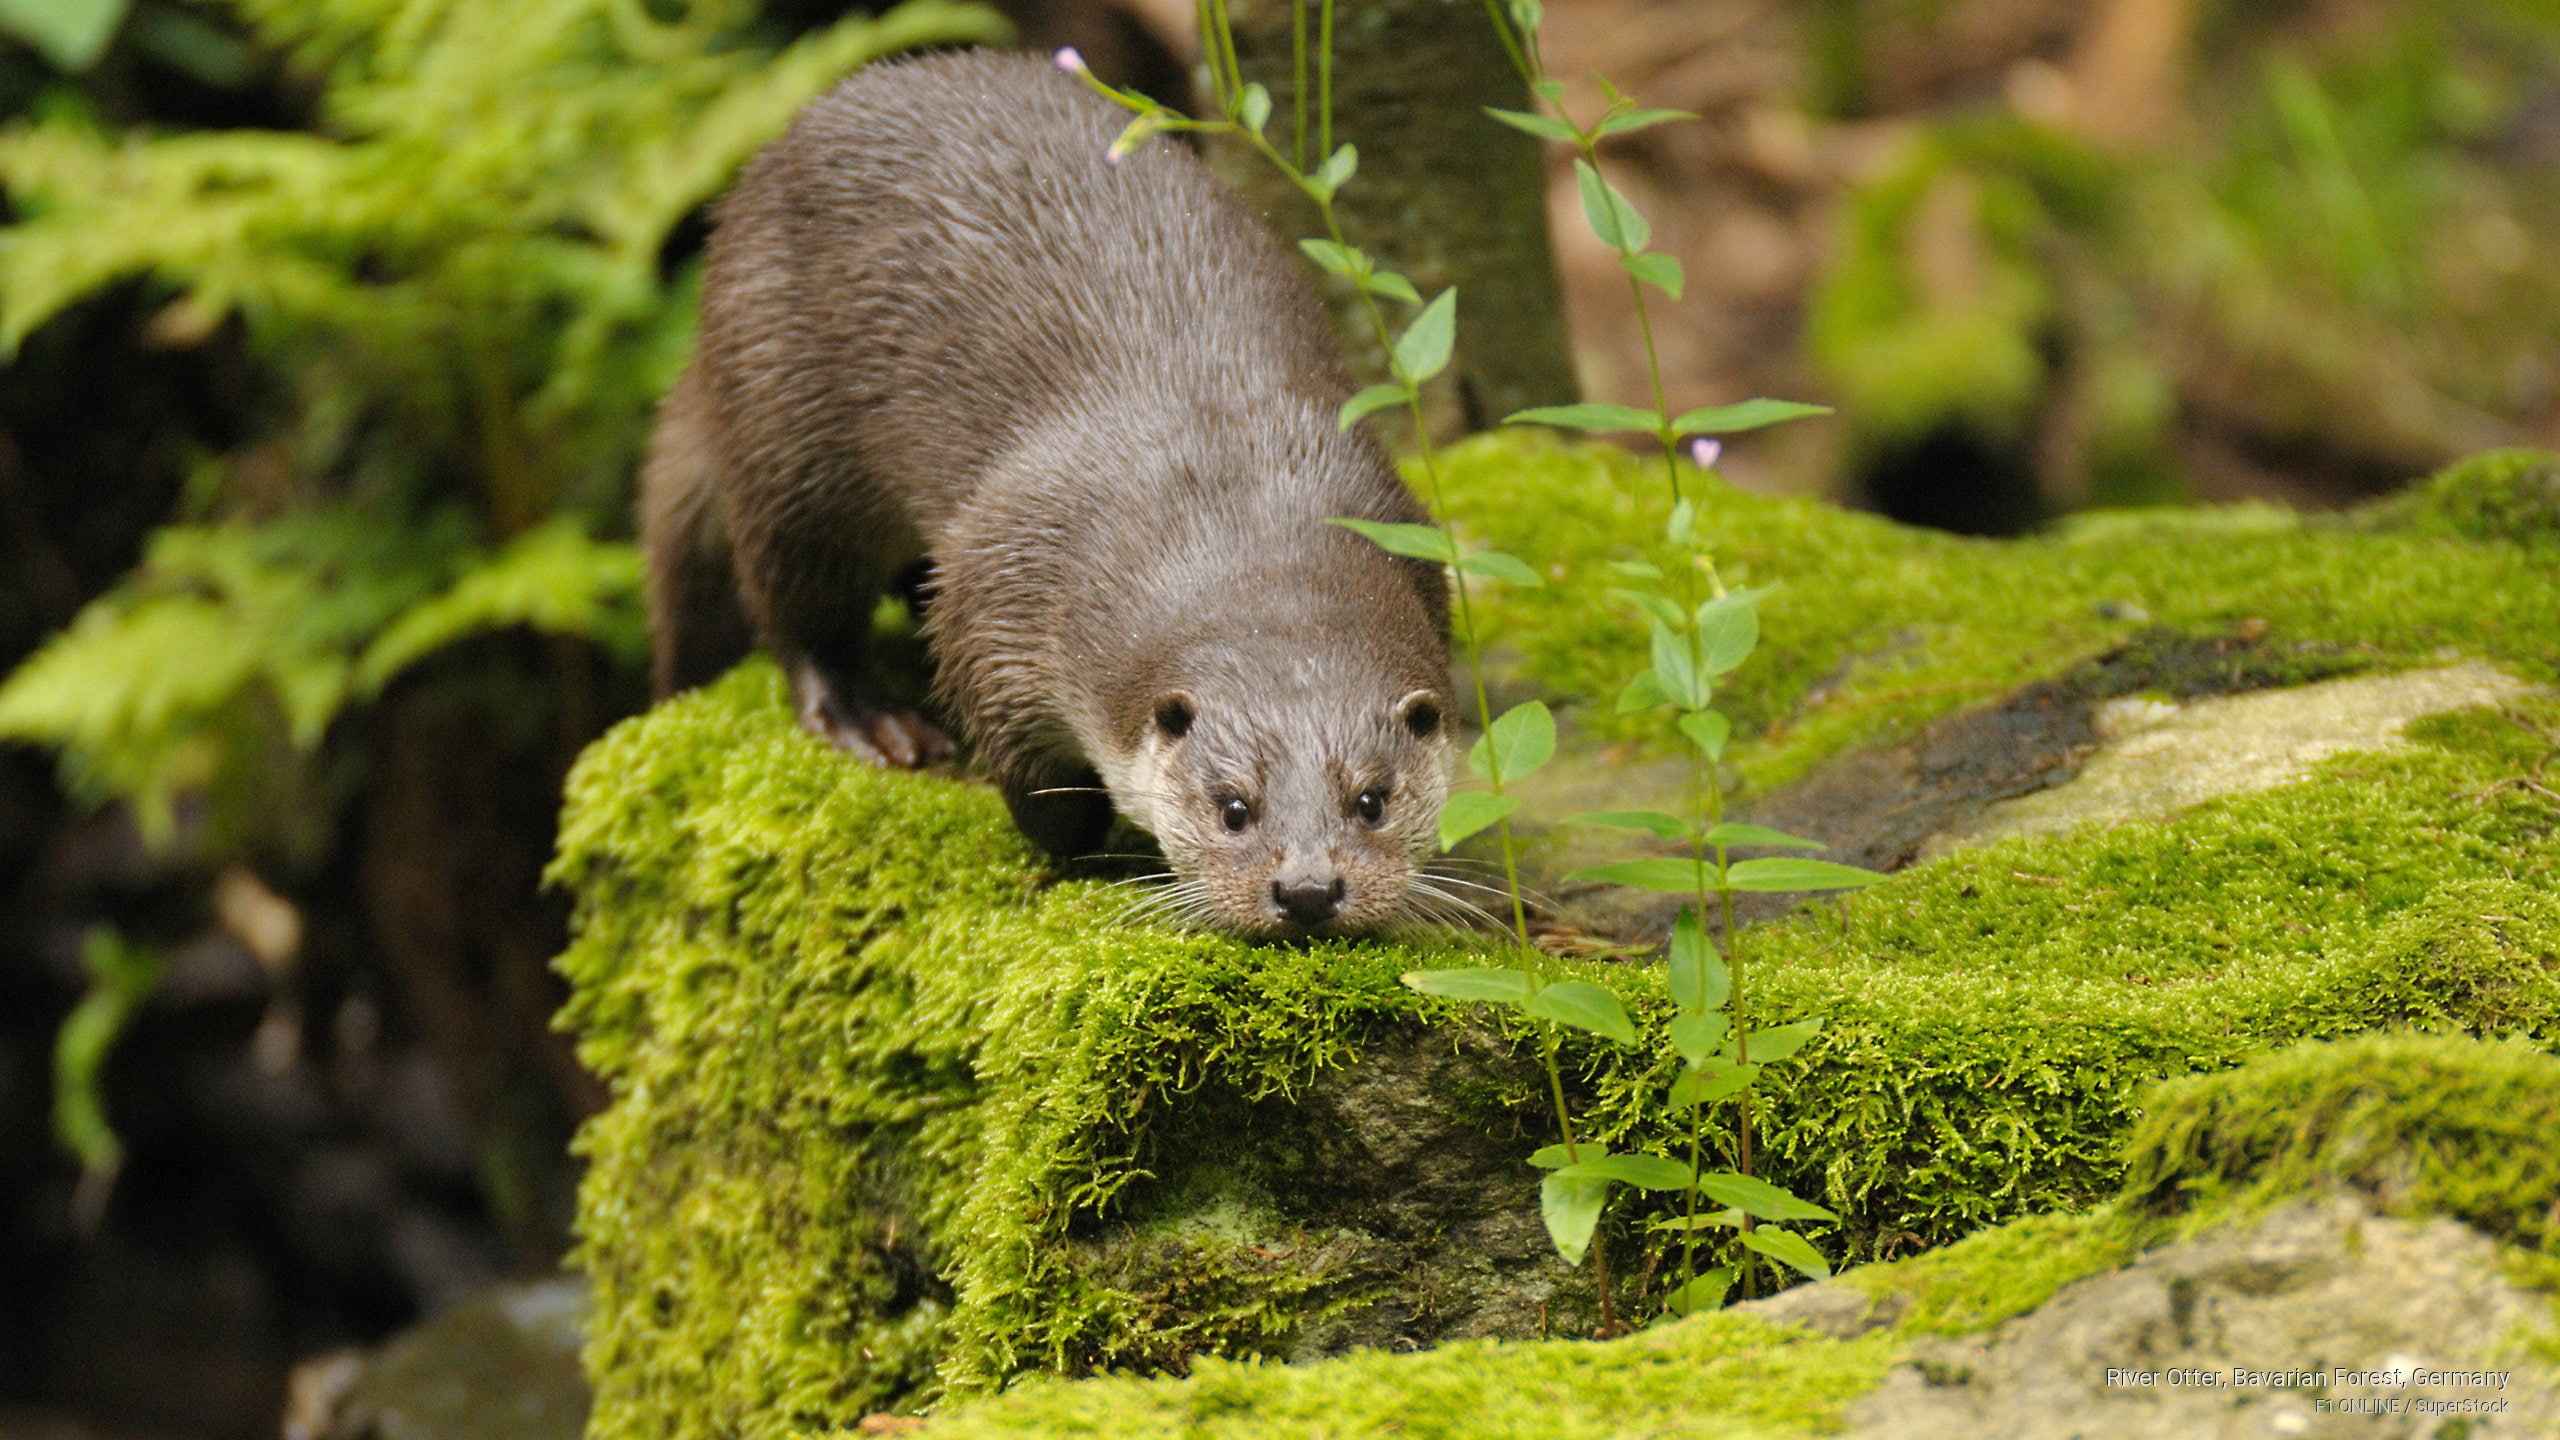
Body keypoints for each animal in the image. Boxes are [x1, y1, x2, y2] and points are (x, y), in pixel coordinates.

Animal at [641, 49, 1456, 936]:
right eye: (1232, 806)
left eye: (1372, 800)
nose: (1307, 889)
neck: (1234, 504)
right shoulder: (1002, 595)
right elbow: (1033, 783)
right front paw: (1090, 841)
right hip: (787, 434)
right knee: (794, 601)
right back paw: (871, 720)